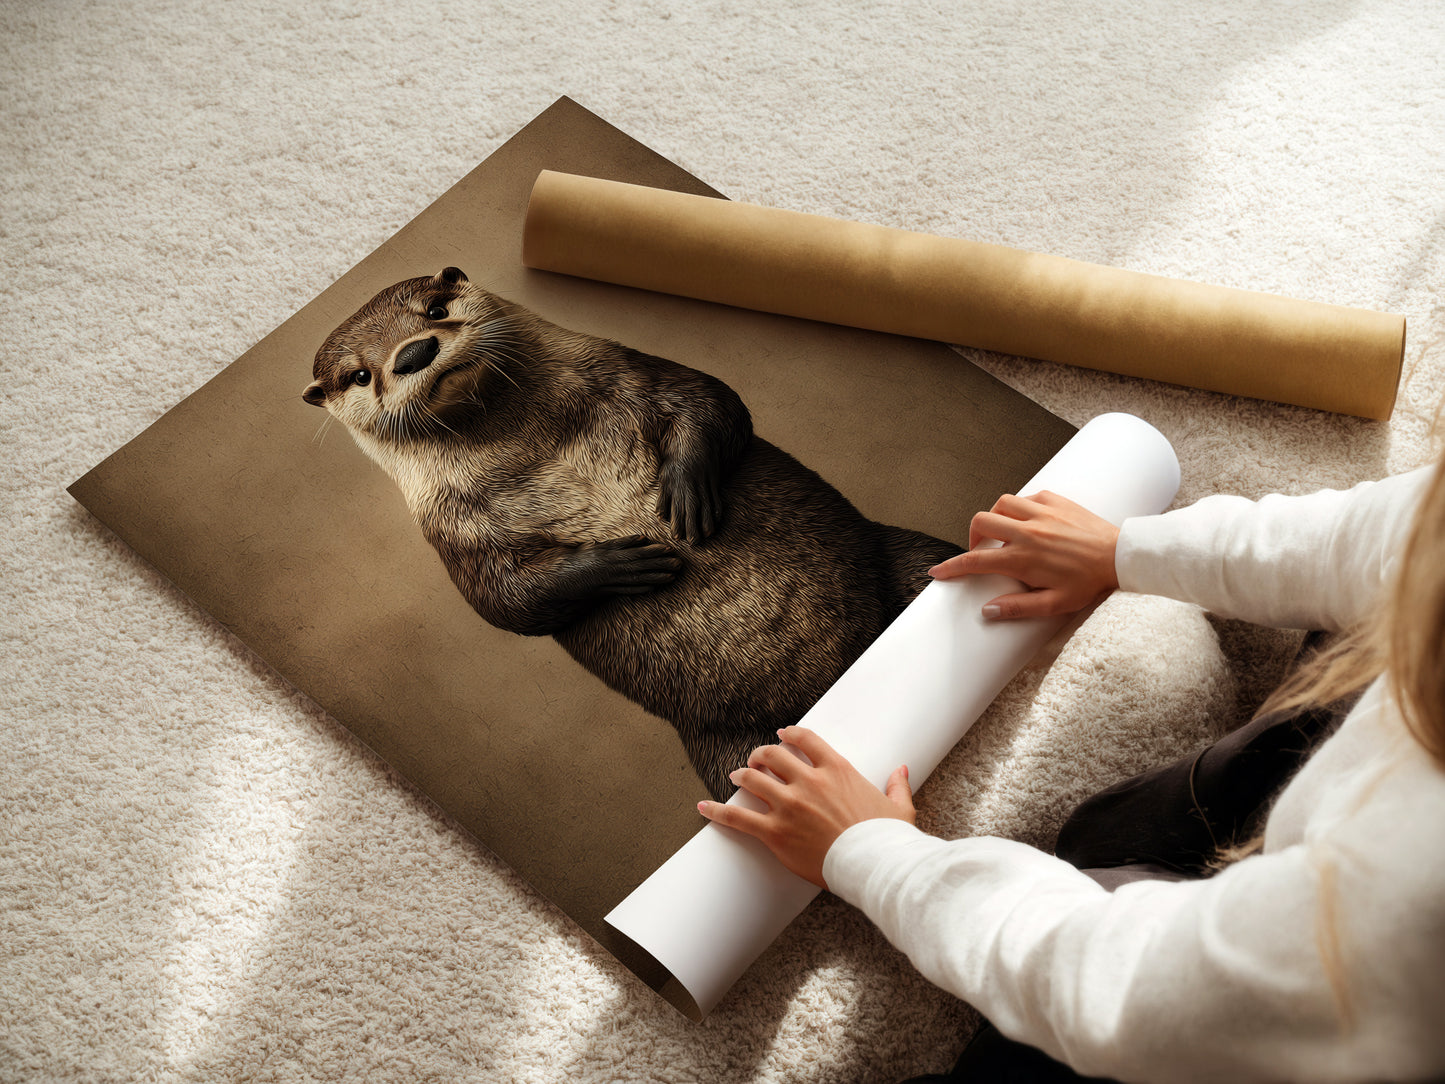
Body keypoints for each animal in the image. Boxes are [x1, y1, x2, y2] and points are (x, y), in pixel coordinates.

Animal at [304, 267, 962, 799]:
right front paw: (619, 564)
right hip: (729, 749)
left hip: (900, 556)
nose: (414, 352)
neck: (537, 446)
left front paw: (686, 490)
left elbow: (713, 400)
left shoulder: (625, 369)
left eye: (436, 309)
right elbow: (506, 602)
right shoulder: (454, 531)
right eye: (359, 374)